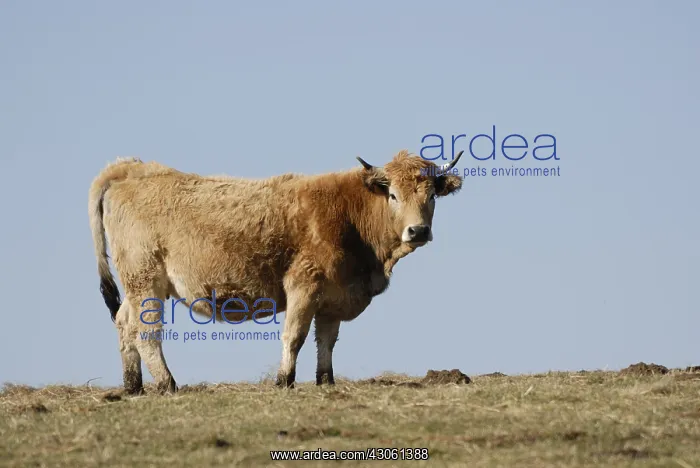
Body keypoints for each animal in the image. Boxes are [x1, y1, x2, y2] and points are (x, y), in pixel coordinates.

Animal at [88, 149, 464, 394]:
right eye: (393, 195)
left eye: (431, 195)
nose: (418, 231)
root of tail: (134, 168)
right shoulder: (304, 285)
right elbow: (294, 336)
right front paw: (284, 381)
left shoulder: (333, 297)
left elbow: (326, 341)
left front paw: (325, 381)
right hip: (145, 280)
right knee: (146, 333)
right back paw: (167, 384)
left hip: (138, 287)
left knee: (124, 324)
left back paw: (133, 386)